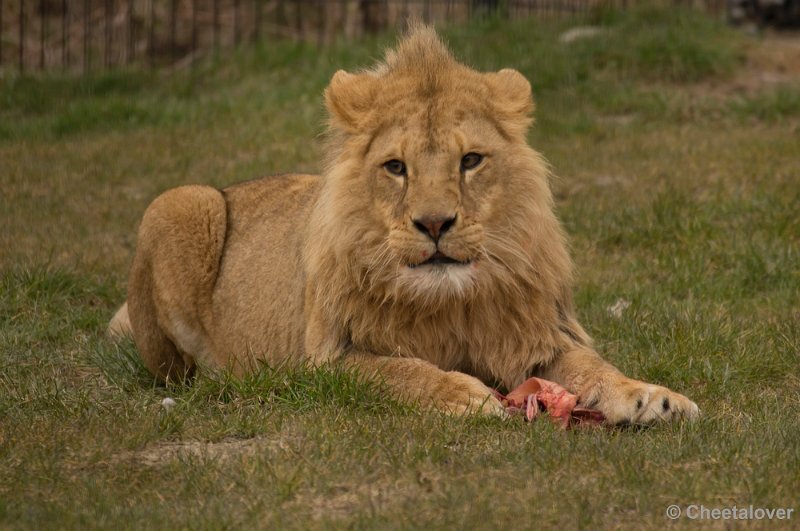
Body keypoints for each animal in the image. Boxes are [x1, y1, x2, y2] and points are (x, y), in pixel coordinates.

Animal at [109, 25, 696, 426]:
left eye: (470, 160)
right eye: (396, 167)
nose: (434, 222)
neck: (449, 304)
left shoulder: (536, 340)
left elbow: (593, 366)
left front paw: (651, 396)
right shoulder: (327, 361)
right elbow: (400, 370)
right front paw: (463, 394)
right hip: (180, 201)